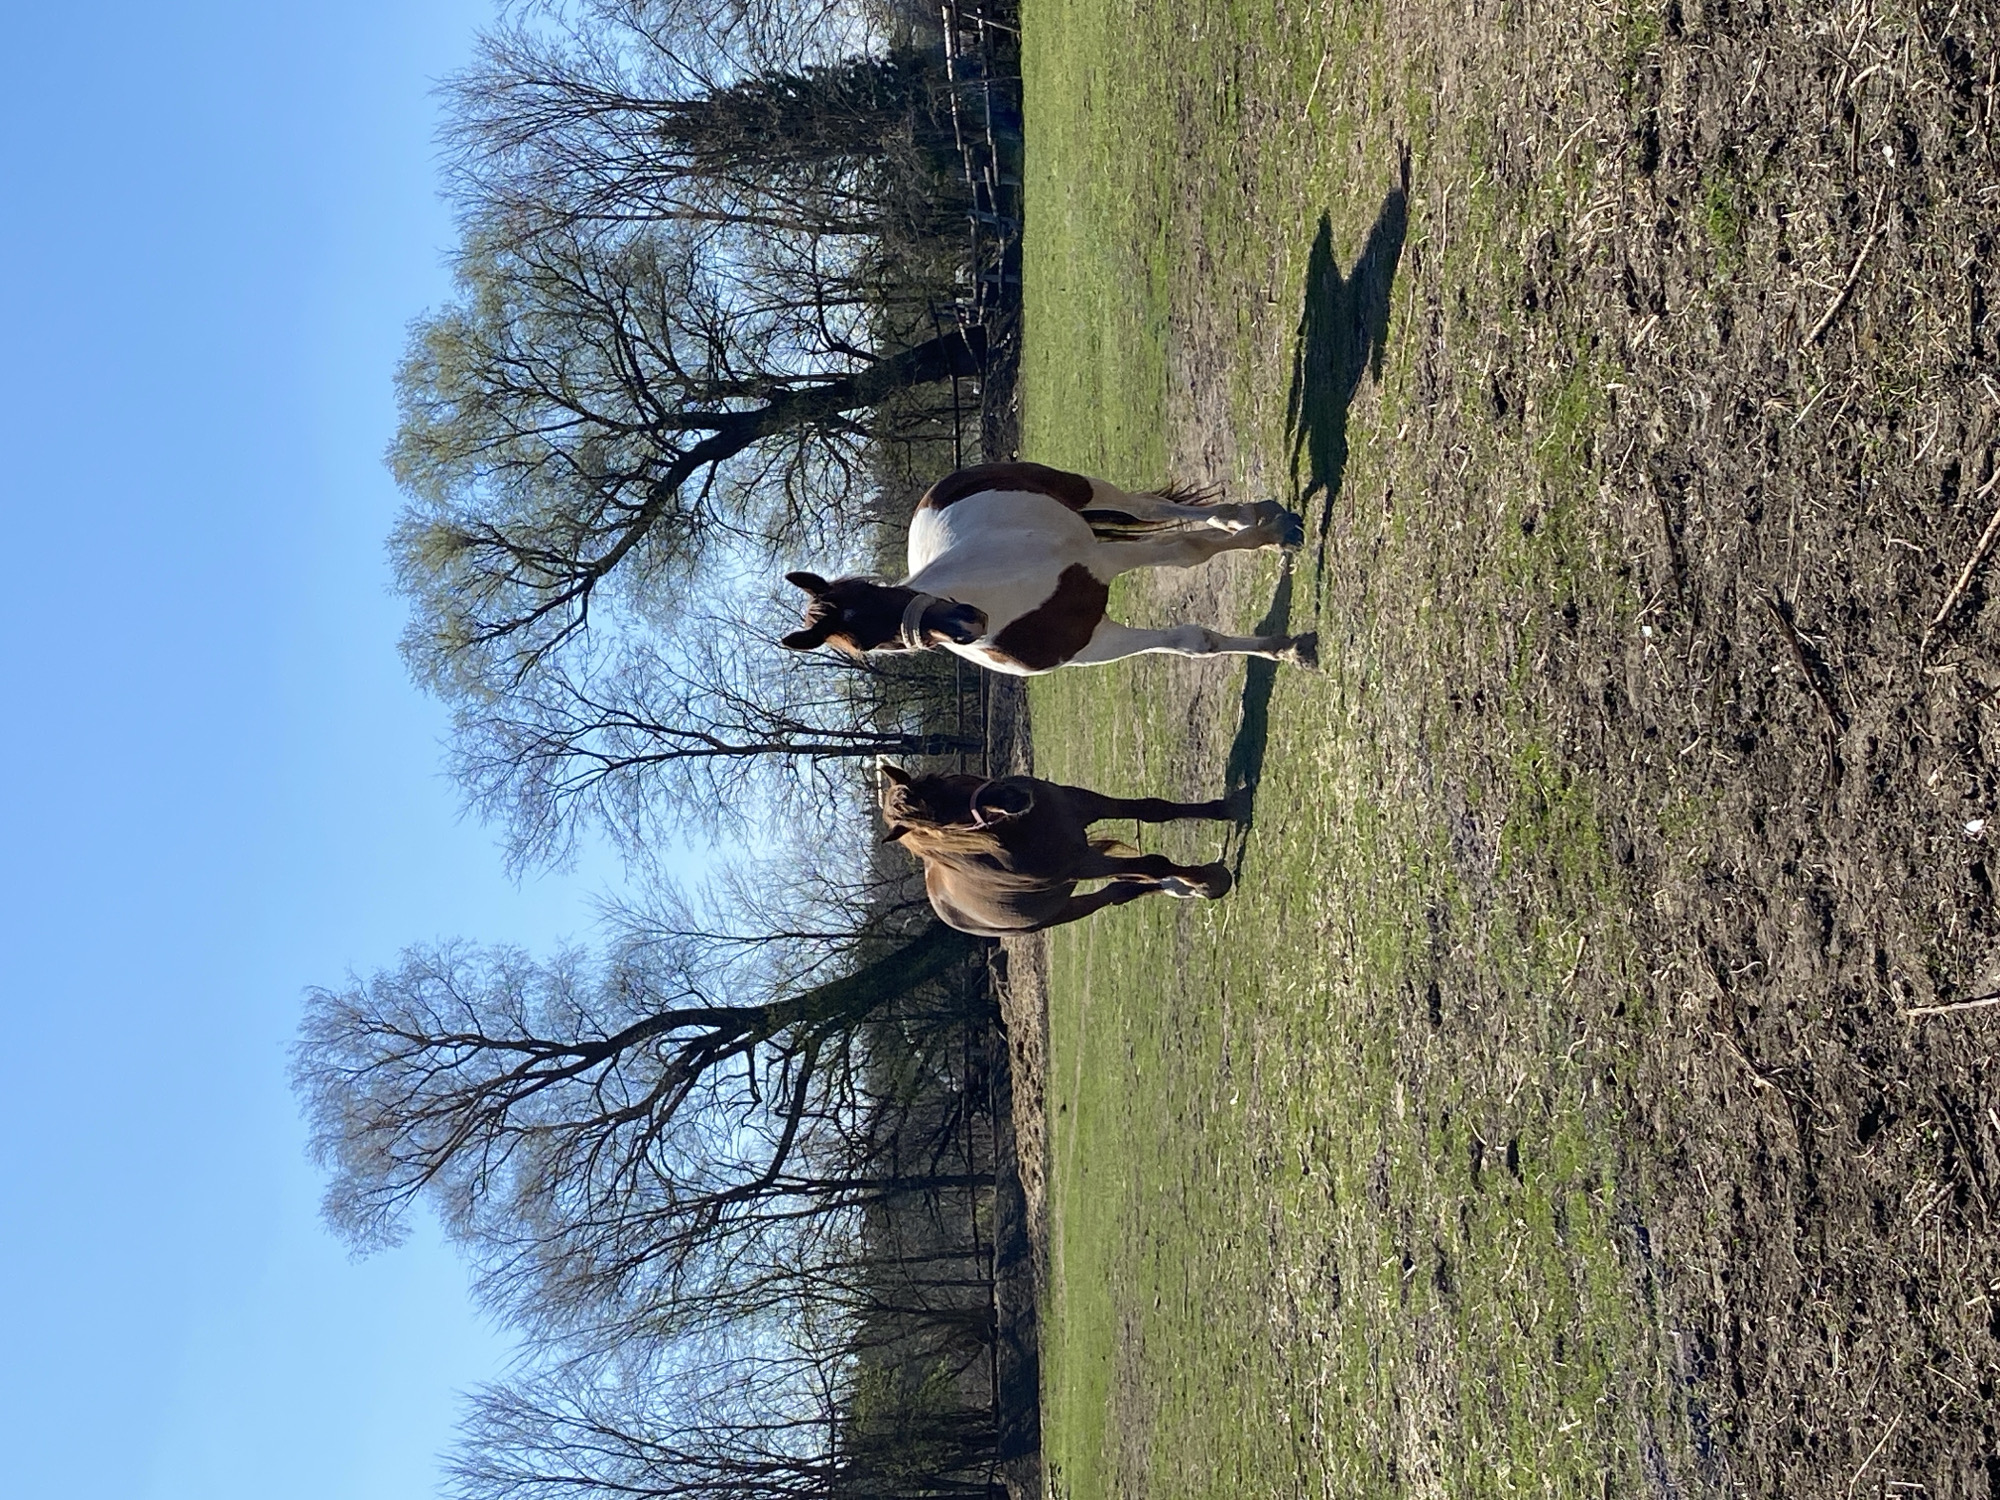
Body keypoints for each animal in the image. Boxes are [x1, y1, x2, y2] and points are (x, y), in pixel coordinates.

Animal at [780, 461, 1316, 674]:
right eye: (872, 647)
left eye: (877, 592)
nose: (965, 624)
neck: (1007, 601)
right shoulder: (1096, 640)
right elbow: (1194, 641)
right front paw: (1287, 649)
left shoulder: (1099, 560)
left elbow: (1190, 549)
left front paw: (1274, 534)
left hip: (1082, 490)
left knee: (1153, 510)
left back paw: (1254, 517)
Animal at [878, 762, 1242, 936]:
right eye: (935, 828)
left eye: (935, 778)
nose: (1010, 798)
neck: (1019, 830)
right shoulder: (1081, 864)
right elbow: (1154, 863)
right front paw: (1208, 880)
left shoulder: (1080, 802)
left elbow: (1154, 808)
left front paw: (1225, 807)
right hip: (1062, 909)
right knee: (1114, 893)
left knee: (1124, 886)